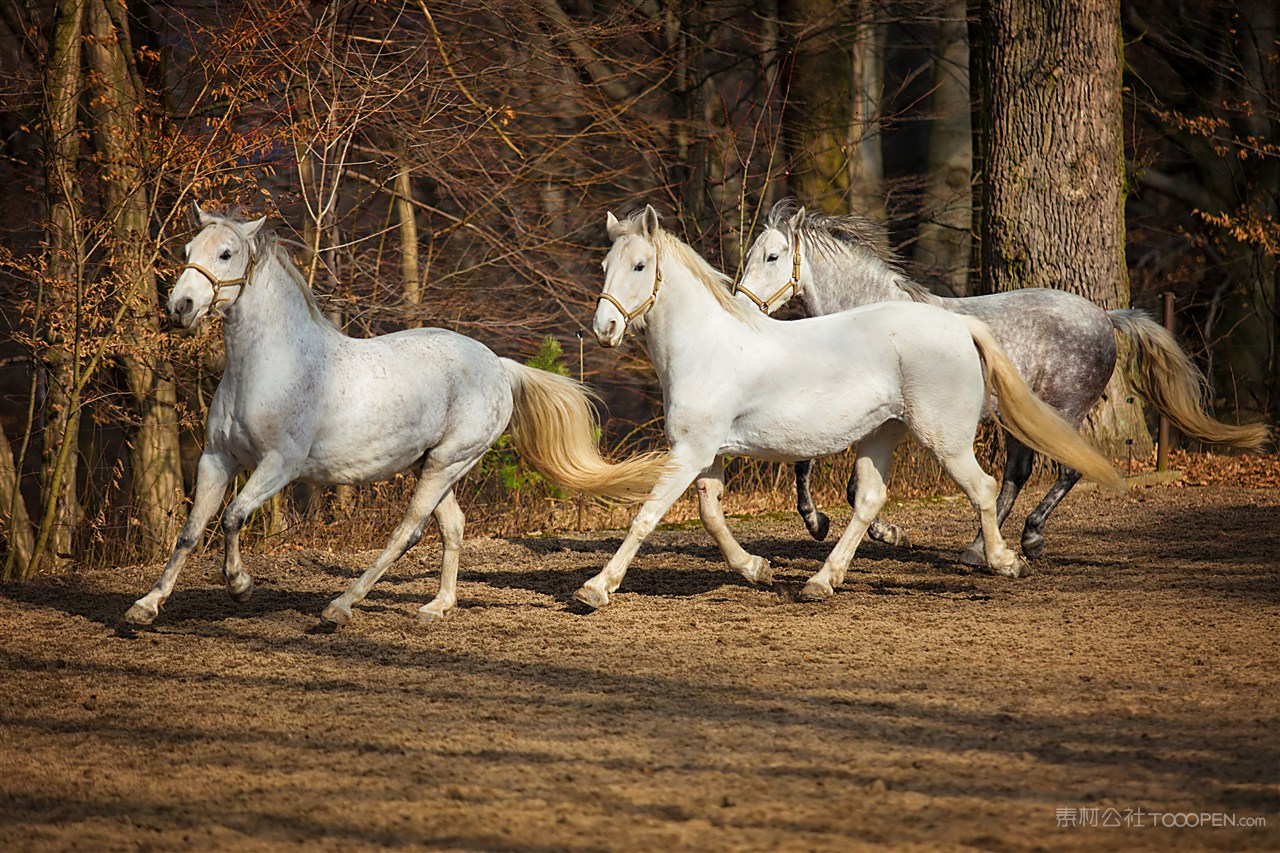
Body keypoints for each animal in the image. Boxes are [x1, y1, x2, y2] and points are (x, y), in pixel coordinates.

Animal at [127, 208, 670, 627]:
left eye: (225, 254)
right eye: (186, 249)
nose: (180, 306)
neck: (268, 366)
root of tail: (497, 364)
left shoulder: (280, 465)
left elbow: (233, 517)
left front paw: (240, 585)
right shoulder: (217, 459)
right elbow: (190, 531)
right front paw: (145, 607)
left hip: (446, 463)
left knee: (408, 532)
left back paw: (341, 606)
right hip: (435, 465)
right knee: (453, 527)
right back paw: (437, 607)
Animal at [573, 204, 1121, 604]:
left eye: (640, 265)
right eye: (604, 266)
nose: (605, 329)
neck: (707, 345)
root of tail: (960, 326)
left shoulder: (689, 452)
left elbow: (647, 515)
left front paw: (595, 589)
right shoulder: (707, 454)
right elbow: (711, 515)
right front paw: (756, 569)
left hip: (947, 437)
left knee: (988, 486)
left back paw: (1002, 558)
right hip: (883, 433)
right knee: (871, 499)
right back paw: (821, 581)